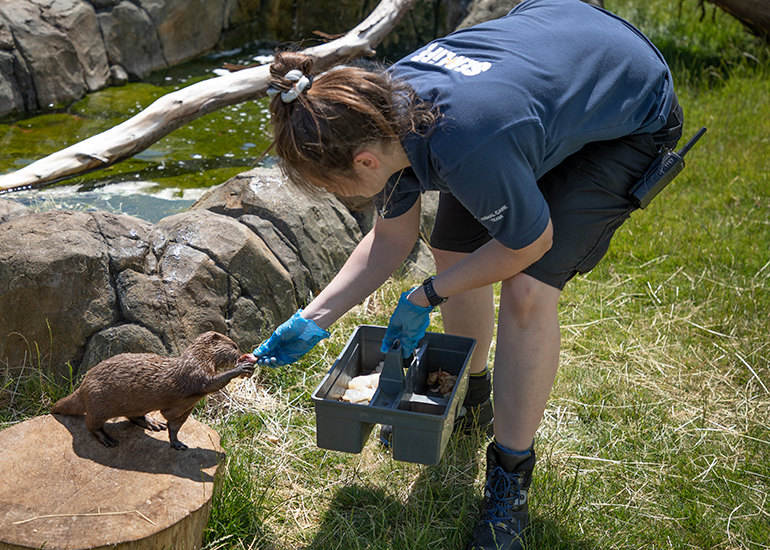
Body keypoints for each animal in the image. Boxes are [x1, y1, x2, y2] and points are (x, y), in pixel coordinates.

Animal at [51, 331, 257, 450]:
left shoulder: (184, 409)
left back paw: (152, 423)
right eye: (234, 346)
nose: (242, 355)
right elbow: (212, 381)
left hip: (134, 404)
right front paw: (241, 368)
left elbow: (174, 426)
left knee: (133, 416)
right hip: (98, 403)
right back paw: (108, 439)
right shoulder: (194, 373)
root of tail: (83, 385)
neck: (198, 358)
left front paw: (176, 443)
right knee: (91, 425)